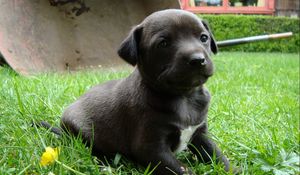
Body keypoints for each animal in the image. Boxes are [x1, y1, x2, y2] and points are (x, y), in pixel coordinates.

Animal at [61, 9, 230, 175]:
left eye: (204, 38)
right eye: (163, 43)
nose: (197, 60)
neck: (185, 97)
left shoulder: (200, 134)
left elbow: (218, 155)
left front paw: (231, 169)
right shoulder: (151, 147)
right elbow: (181, 170)